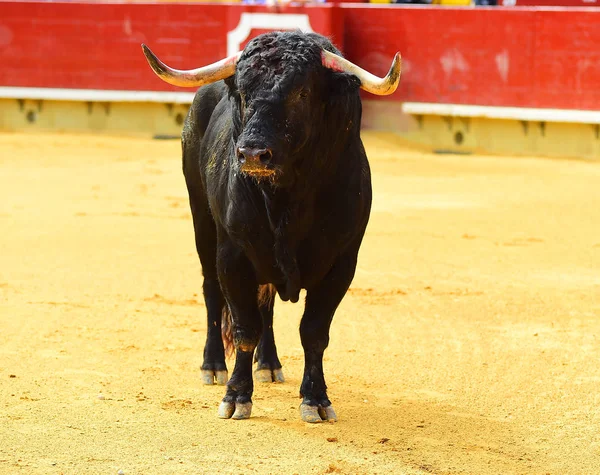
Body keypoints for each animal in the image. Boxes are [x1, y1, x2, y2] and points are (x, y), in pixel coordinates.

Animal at [142, 31, 400, 422]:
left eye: (302, 92)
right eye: (243, 92)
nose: (251, 154)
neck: (288, 198)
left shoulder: (342, 263)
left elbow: (314, 332)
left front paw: (316, 399)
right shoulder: (232, 256)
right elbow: (245, 326)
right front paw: (236, 397)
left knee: (267, 306)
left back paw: (269, 364)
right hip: (202, 223)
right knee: (212, 293)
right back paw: (213, 366)